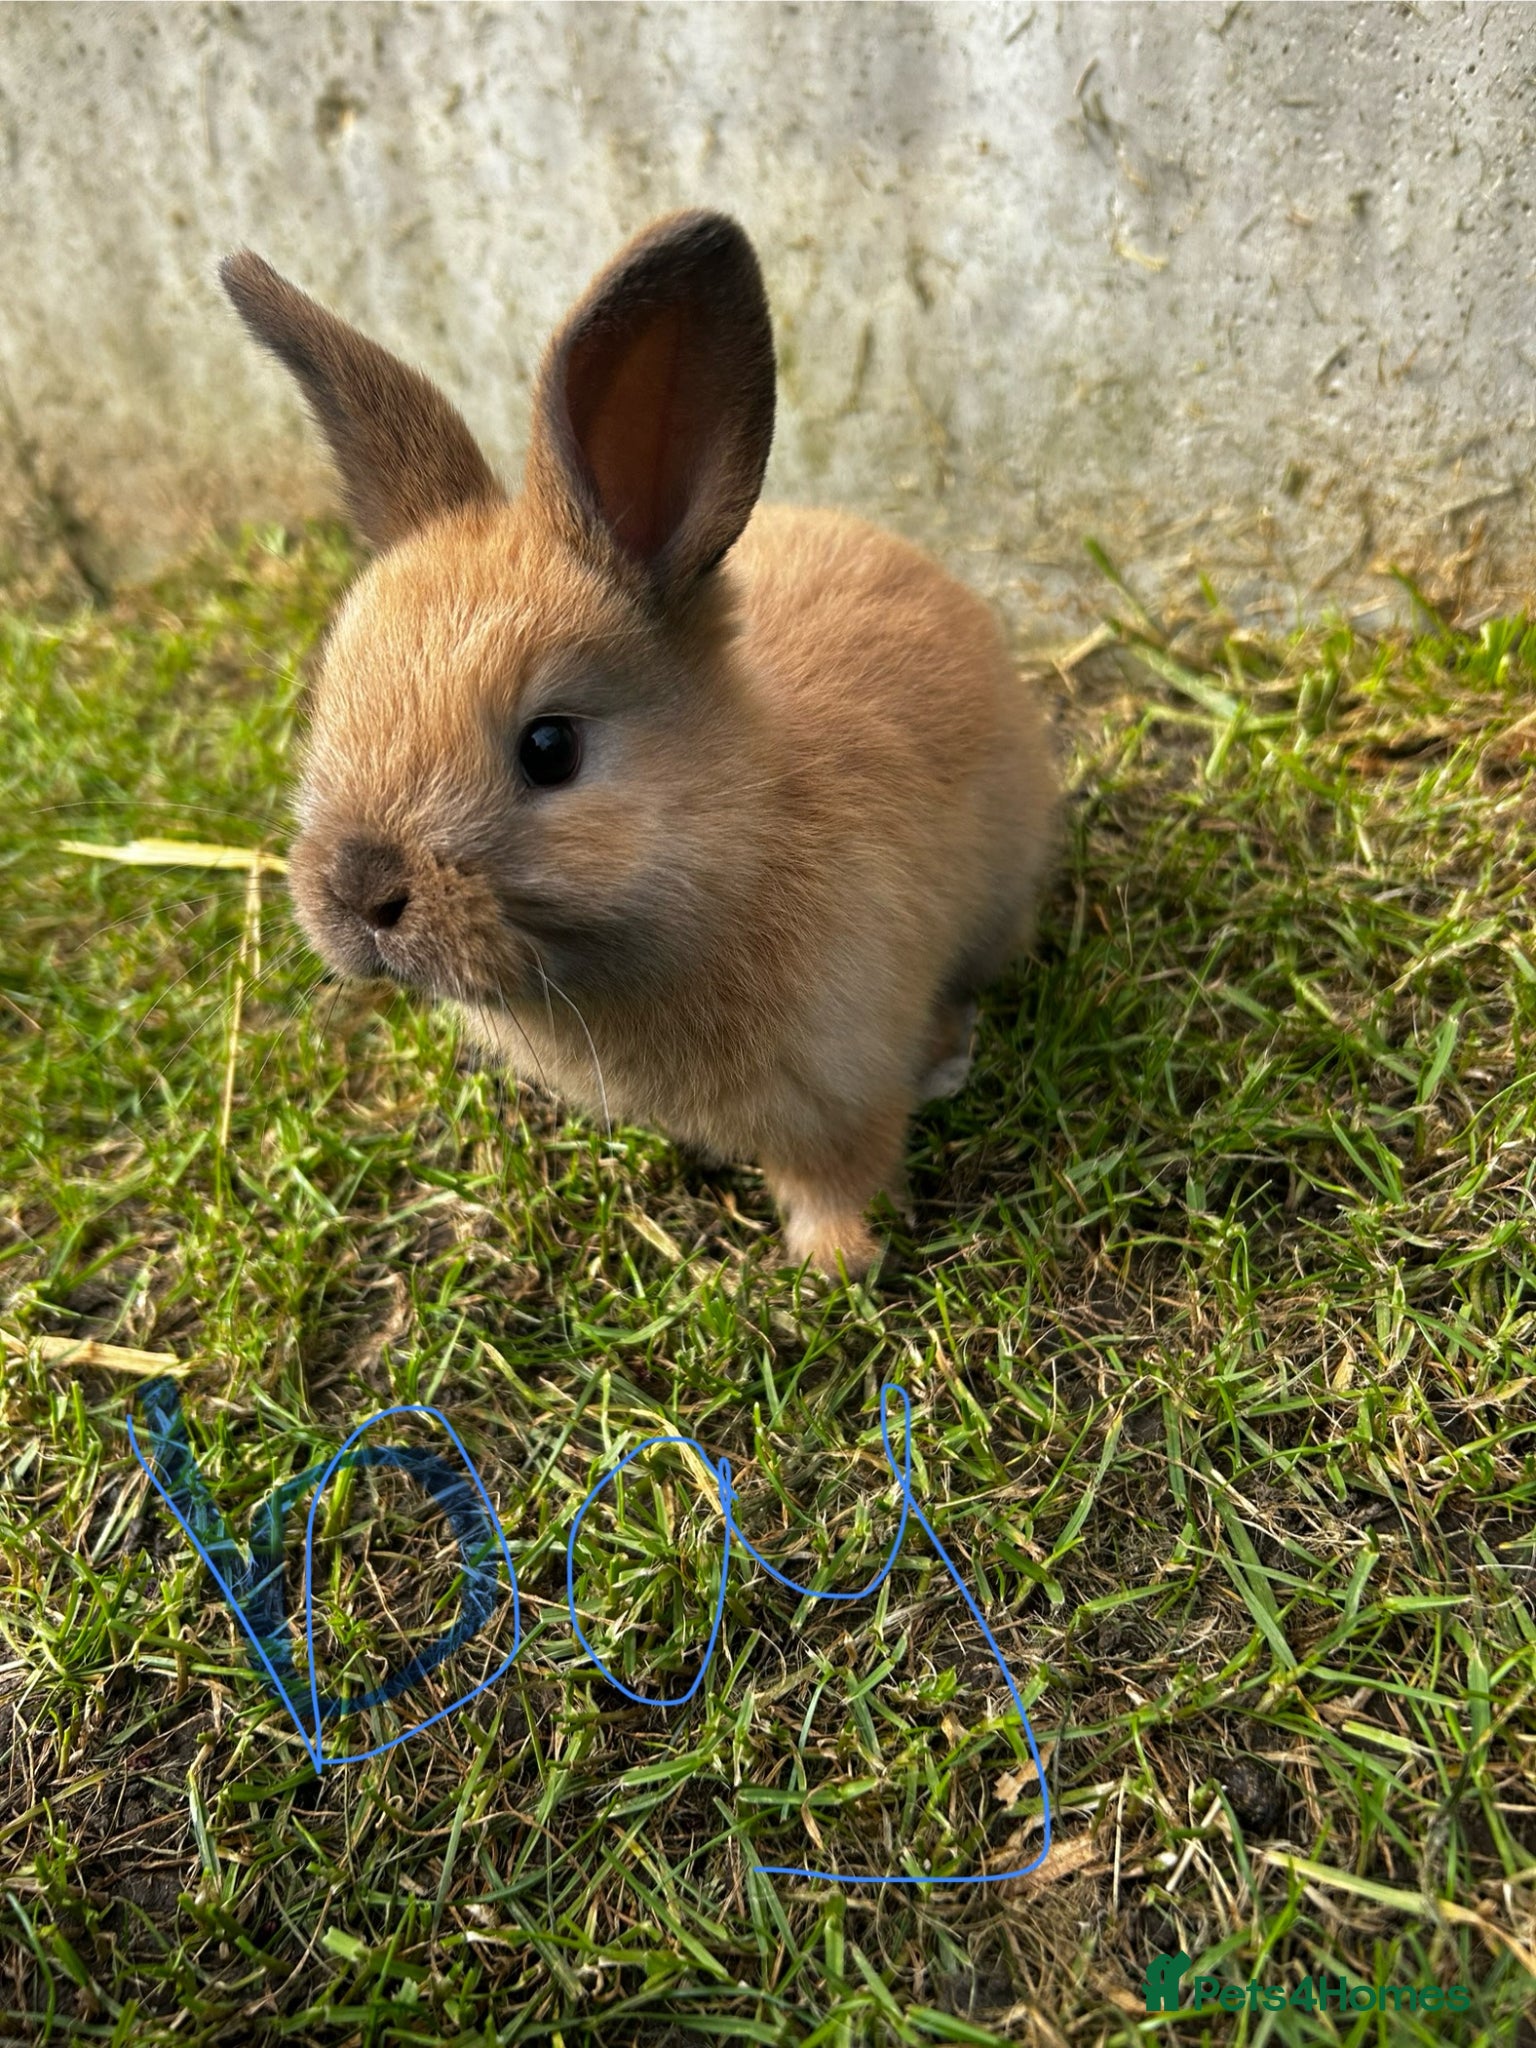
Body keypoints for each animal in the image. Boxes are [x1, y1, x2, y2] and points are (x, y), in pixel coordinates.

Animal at [220, 211, 1057, 1278]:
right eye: (332, 700)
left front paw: (837, 1262)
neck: (738, 846)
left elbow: (844, 1172)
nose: (359, 893)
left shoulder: (844, 1088)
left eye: (549, 748)